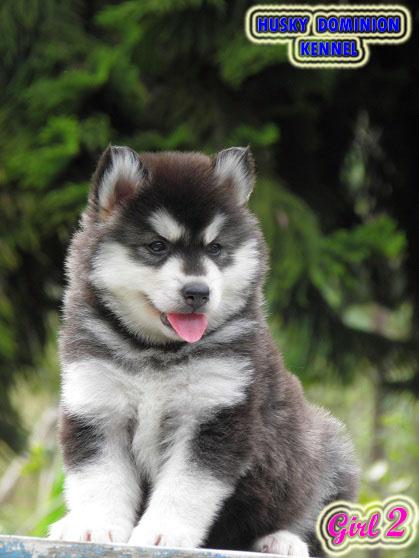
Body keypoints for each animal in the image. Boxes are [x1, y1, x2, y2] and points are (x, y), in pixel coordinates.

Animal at [49, 145, 359, 557]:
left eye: (216, 248)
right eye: (157, 246)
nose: (198, 292)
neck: (156, 352)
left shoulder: (212, 415)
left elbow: (185, 487)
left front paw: (163, 533)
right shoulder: (98, 407)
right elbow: (101, 478)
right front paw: (93, 527)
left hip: (325, 446)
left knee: (313, 510)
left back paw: (282, 539)